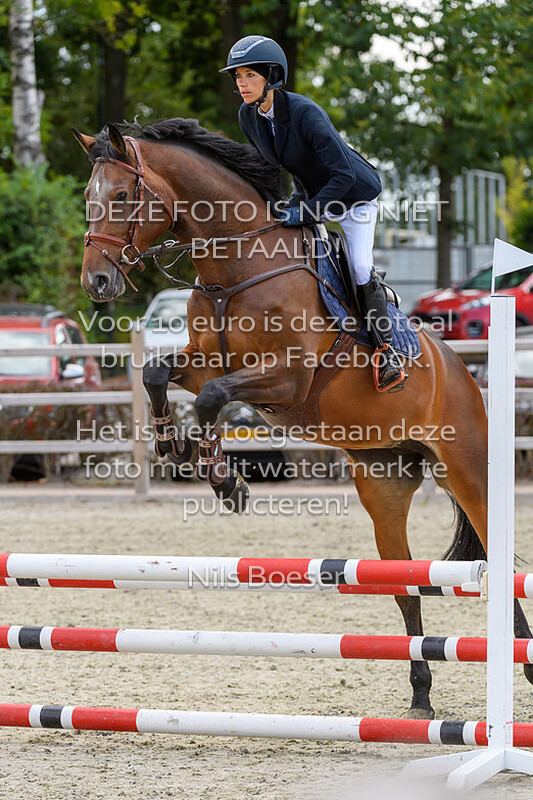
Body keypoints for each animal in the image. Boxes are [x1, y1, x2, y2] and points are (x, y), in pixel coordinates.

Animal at [73, 118, 533, 719]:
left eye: (123, 196)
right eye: (89, 196)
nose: (96, 283)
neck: (237, 268)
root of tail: (458, 368)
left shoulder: (285, 378)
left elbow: (212, 399)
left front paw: (222, 479)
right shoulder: (203, 363)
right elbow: (158, 373)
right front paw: (177, 448)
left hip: (467, 470)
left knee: (502, 563)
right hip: (384, 483)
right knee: (405, 587)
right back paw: (420, 696)